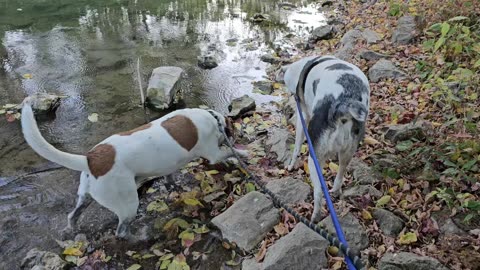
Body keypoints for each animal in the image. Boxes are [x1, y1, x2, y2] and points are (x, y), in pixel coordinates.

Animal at [21, 101, 248, 238]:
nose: (241, 135)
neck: (212, 119)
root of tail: (90, 159)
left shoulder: (171, 165)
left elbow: (170, 177)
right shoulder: (213, 153)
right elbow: (227, 152)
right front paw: (242, 154)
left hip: (85, 197)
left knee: (73, 215)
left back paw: (72, 229)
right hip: (128, 204)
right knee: (120, 231)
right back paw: (138, 236)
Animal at [284, 55, 372, 221]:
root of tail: (341, 105)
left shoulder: (302, 117)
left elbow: (296, 146)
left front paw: (291, 165)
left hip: (315, 159)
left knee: (319, 193)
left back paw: (314, 217)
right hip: (347, 152)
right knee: (341, 172)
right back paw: (336, 191)